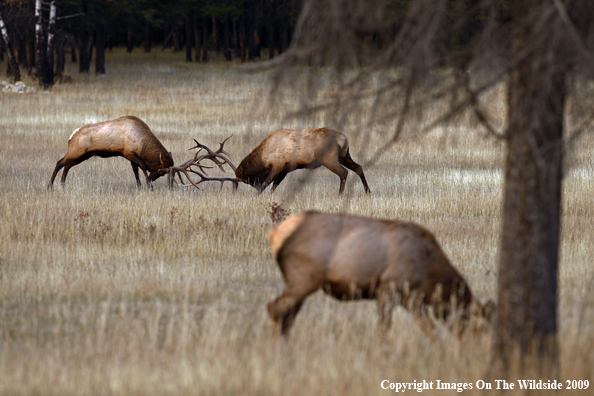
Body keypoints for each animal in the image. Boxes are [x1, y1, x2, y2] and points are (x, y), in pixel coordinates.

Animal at [234, 127, 368, 194]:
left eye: (245, 180)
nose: (255, 188)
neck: (264, 156)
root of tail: (344, 137)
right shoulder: (285, 170)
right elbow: (274, 186)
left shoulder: (278, 166)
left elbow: (266, 183)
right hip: (344, 156)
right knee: (358, 167)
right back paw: (368, 192)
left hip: (329, 159)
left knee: (344, 172)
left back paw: (340, 195)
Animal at [266, 210, 492, 338]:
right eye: (479, 329)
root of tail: (274, 234)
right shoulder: (388, 289)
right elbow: (384, 330)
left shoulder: (411, 299)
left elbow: (432, 332)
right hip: (303, 278)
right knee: (275, 308)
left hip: (299, 283)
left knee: (287, 316)